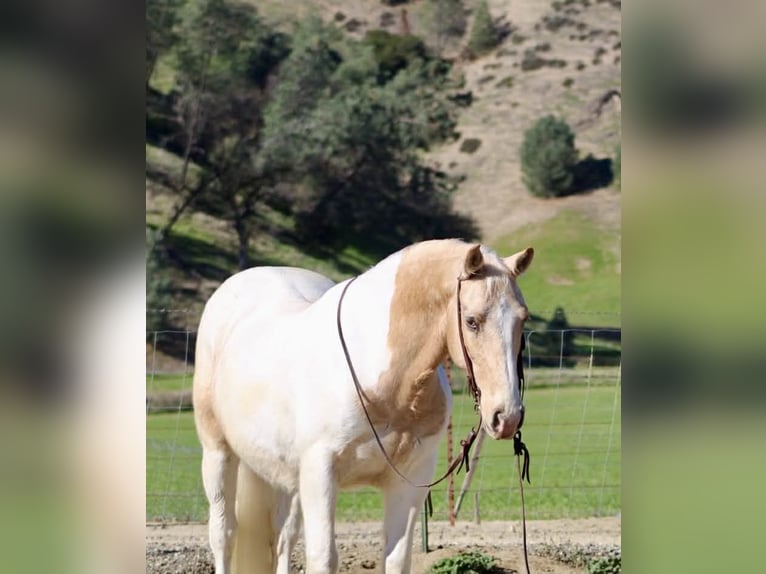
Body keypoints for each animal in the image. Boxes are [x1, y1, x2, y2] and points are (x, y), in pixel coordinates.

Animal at [192, 239, 534, 574]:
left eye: (523, 319)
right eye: (472, 321)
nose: (506, 416)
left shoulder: (408, 480)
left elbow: (396, 559)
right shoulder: (320, 474)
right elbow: (323, 558)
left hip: (284, 476)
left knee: (282, 538)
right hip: (219, 454)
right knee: (224, 535)